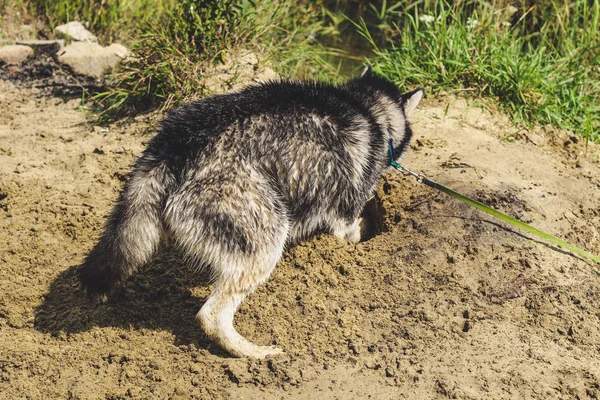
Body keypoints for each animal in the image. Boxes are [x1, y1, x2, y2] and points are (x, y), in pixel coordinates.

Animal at [79, 66, 424, 360]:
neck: (368, 109)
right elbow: (352, 230)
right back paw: (251, 352)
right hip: (265, 237)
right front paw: (368, 226)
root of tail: (176, 146)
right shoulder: (344, 214)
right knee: (212, 316)